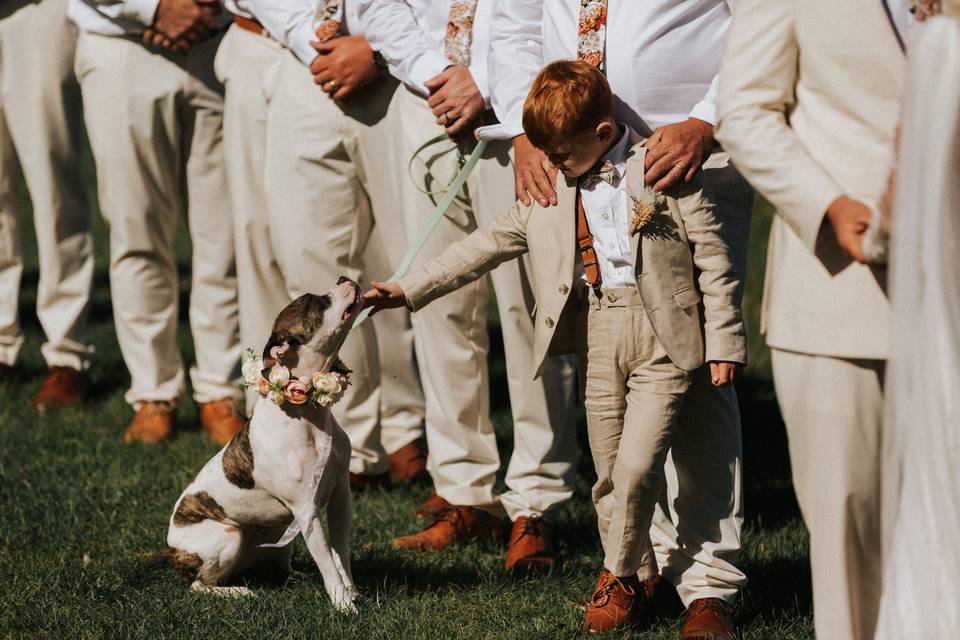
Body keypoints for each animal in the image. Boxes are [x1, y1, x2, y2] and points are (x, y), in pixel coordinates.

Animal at [163, 278, 362, 612]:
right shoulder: (307, 511)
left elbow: (340, 554)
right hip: (228, 535)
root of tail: (169, 548)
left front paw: (350, 591)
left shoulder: (339, 496)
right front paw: (343, 604)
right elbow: (327, 562)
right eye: (315, 302)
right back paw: (237, 592)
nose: (343, 279)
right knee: (199, 585)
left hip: (276, 532)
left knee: (275, 565)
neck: (308, 411)